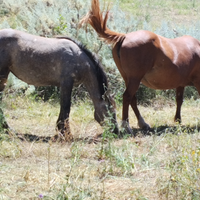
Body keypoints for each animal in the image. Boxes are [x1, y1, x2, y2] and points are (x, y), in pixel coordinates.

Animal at [79, 0, 200, 134]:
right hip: (135, 79)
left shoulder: (180, 84)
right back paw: (126, 125)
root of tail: (124, 36)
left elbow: (179, 100)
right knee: (127, 97)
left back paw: (142, 123)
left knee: (132, 99)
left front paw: (178, 120)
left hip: (129, 79)